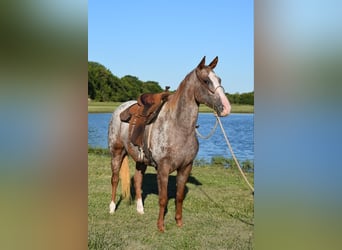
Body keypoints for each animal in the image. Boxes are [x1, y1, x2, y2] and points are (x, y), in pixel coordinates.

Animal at [107, 56, 230, 232]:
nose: (226, 108)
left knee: (138, 180)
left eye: (219, 80)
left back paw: (140, 209)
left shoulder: (186, 167)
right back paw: (111, 208)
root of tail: (120, 109)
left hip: (140, 159)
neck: (178, 126)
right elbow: (163, 199)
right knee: (115, 179)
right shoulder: (163, 169)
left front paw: (179, 222)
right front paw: (161, 226)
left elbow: (179, 197)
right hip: (116, 152)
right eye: (206, 81)